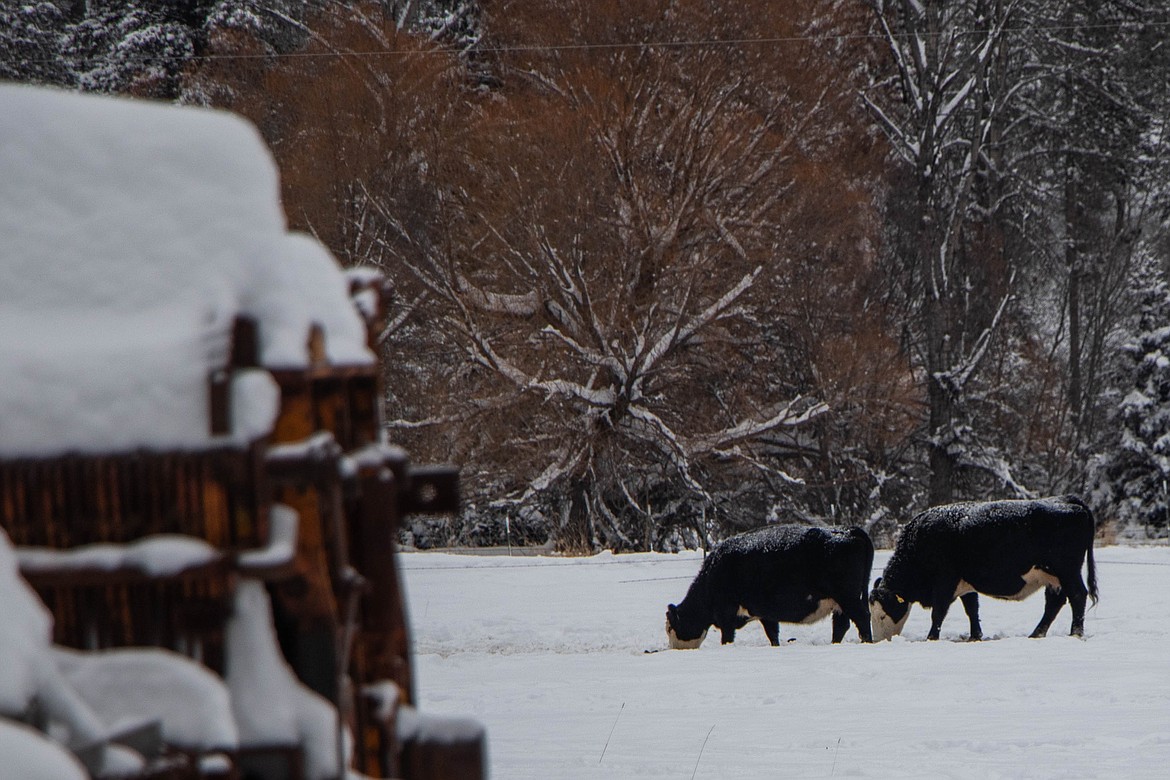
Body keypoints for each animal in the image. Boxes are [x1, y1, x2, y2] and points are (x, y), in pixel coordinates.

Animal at [664, 528, 875, 650]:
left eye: (670, 627)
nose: (673, 649)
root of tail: (849, 530)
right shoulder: (765, 613)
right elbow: (773, 634)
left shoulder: (726, 612)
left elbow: (727, 636)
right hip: (841, 601)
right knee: (841, 626)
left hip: (847, 596)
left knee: (862, 618)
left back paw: (867, 642)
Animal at [875, 498, 1099, 645]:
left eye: (882, 615)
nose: (876, 641)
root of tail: (1067, 501)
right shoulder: (965, 583)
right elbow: (972, 609)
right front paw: (975, 636)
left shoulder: (945, 582)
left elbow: (939, 612)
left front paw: (931, 638)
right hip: (1054, 577)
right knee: (1054, 603)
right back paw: (1036, 634)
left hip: (1067, 572)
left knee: (1078, 596)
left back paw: (1075, 633)